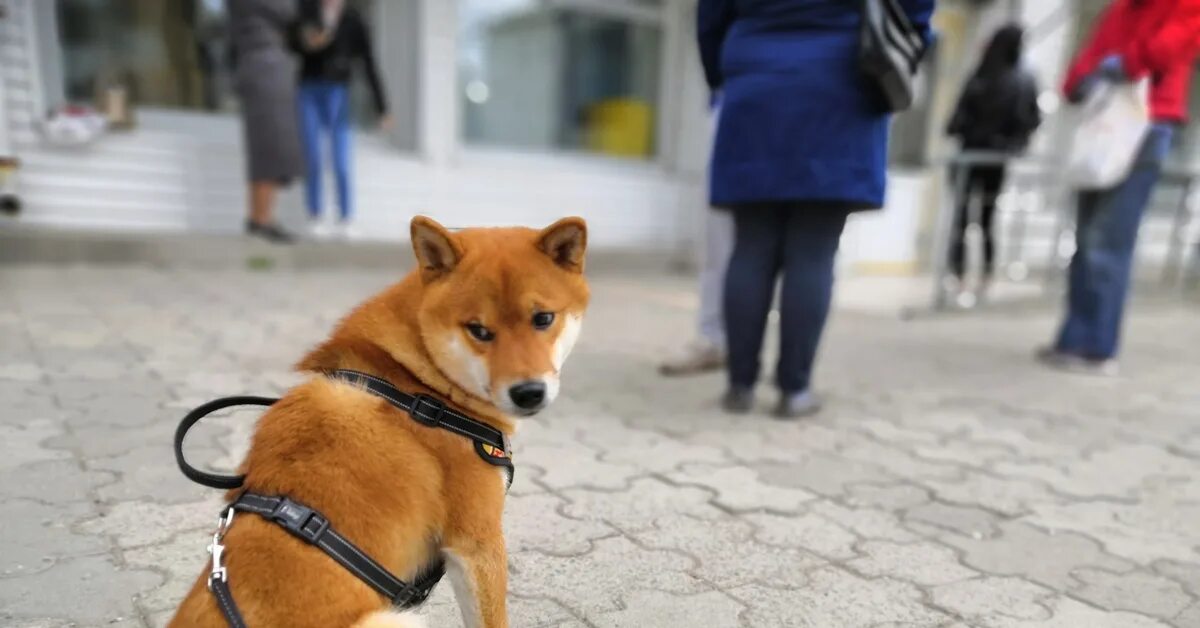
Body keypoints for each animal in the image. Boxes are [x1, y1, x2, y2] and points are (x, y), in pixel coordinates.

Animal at [171, 217, 592, 628]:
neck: (418, 387)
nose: (528, 392)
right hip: (396, 620)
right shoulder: (477, 542)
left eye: (543, 318)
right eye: (479, 330)